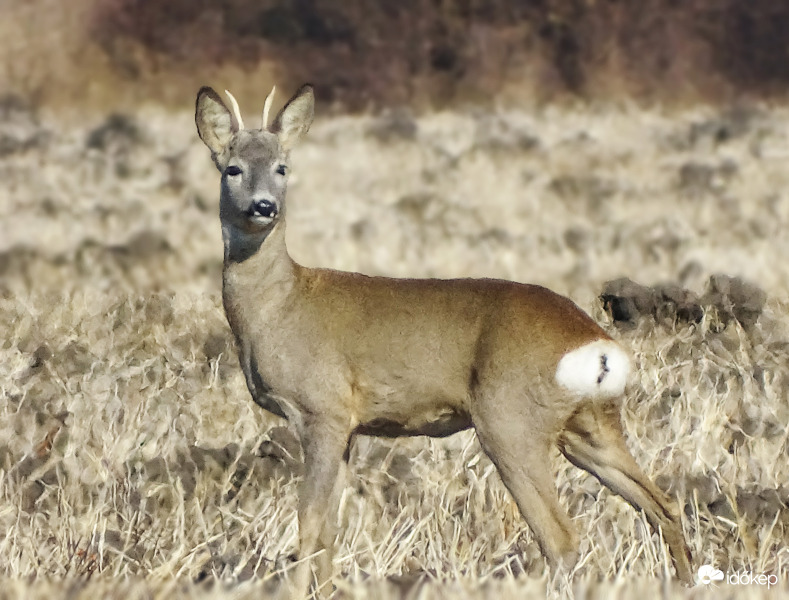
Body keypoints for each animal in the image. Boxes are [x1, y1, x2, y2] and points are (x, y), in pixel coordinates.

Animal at [194, 85, 692, 596]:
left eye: (281, 168)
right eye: (233, 168)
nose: (263, 207)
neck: (280, 305)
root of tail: (594, 343)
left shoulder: (321, 410)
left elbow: (310, 526)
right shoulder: (348, 427)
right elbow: (331, 531)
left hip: (510, 423)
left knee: (562, 538)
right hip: (588, 425)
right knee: (663, 505)